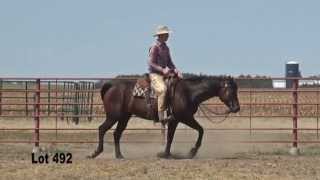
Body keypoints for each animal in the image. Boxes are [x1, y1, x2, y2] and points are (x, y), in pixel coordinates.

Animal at [88, 74, 240, 159]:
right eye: (230, 90)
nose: (236, 108)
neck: (188, 92)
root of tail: (111, 85)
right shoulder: (182, 118)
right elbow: (195, 131)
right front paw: (189, 152)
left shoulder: (179, 119)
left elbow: (176, 136)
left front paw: (170, 153)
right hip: (113, 116)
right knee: (102, 129)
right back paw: (95, 153)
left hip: (124, 117)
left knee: (116, 134)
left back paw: (119, 155)